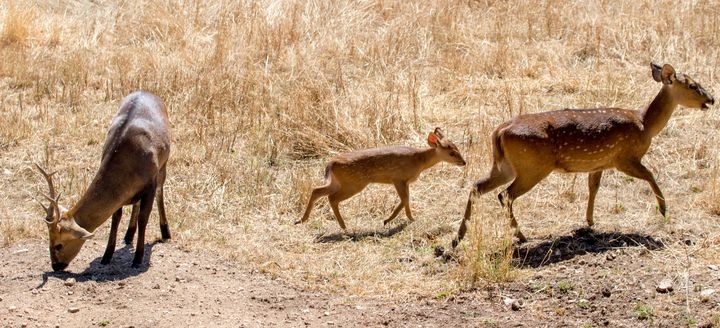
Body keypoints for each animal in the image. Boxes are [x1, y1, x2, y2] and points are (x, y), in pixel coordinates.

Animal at [36, 91, 172, 270]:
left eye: (59, 245)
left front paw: (138, 259)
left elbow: (144, 219)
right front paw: (107, 256)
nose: (55, 265)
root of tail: (147, 92)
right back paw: (128, 235)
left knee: (160, 192)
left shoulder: (150, 183)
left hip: (164, 163)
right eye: (49, 240)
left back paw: (165, 232)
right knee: (135, 203)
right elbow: (116, 217)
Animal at [296, 127, 470, 229]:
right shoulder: (398, 178)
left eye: (457, 148)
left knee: (317, 190)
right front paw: (388, 220)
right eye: (451, 152)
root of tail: (331, 163)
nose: (463, 162)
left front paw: (410, 218)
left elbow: (407, 199)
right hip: (354, 183)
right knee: (332, 198)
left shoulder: (405, 181)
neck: (419, 160)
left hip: (339, 182)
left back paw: (302, 220)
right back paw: (344, 226)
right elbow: (404, 199)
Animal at [452, 62, 712, 247]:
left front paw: (589, 222)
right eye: (692, 85)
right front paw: (664, 209)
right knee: (505, 195)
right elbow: (650, 175)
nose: (711, 98)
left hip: (504, 165)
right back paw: (522, 236)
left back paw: (459, 237)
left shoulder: (599, 163)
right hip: (533, 166)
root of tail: (499, 131)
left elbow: (593, 187)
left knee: (477, 186)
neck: (644, 124)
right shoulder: (624, 157)